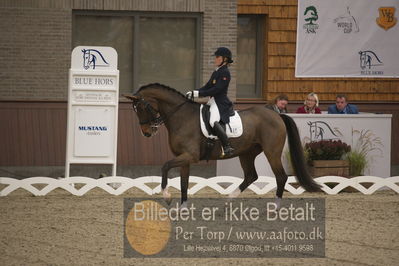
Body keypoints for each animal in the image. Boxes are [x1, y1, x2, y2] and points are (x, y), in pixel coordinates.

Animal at [125, 82, 322, 206]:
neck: (181, 116)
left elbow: (165, 167)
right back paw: (229, 200)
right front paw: (183, 209)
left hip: (271, 152)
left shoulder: (190, 156)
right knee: (251, 176)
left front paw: (166, 196)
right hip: (247, 153)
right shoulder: (184, 158)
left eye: (141, 108)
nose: (147, 132)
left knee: (280, 177)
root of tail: (276, 115)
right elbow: (183, 182)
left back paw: (275, 207)